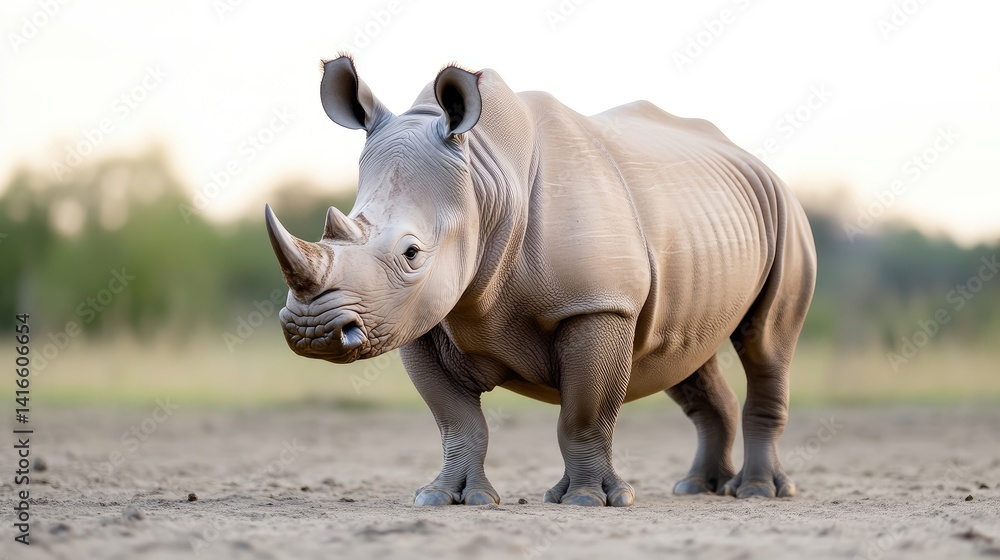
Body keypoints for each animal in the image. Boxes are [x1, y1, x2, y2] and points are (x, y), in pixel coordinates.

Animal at [264, 55, 817, 507]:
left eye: (411, 253)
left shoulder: (598, 304)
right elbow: (456, 419)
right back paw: (698, 487)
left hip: (787, 213)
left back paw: (757, 491)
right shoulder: (419, 316)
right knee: (683, 353)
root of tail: (753, 160)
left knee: (765, 345)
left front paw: (587, 501)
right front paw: (445, 498)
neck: (483, 180)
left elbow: (584, 414)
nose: (313, 331)